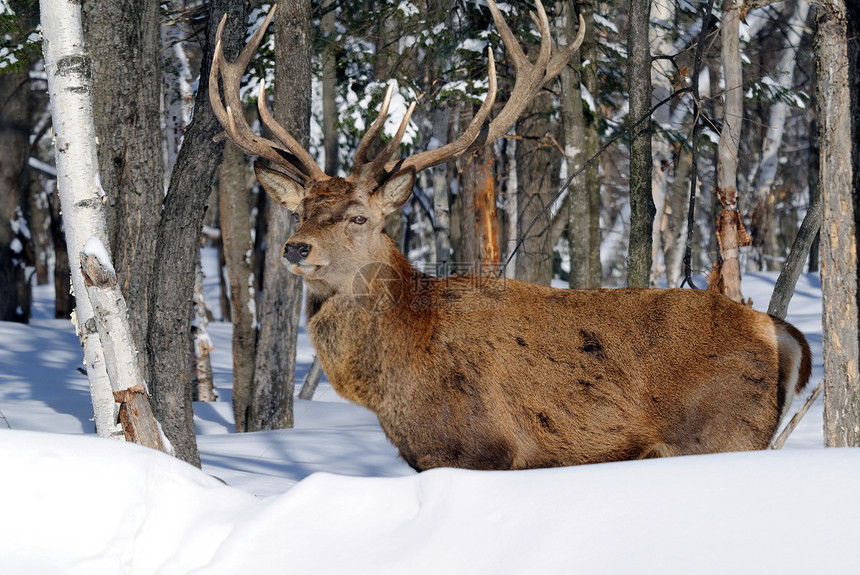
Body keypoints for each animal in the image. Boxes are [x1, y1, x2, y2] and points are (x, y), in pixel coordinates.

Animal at [210, 2, 812, 470]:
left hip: (723, 433)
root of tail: (777, 331)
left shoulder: (481, 447)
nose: (295, 247)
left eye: (359, 217)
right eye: (300, 213)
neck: (395, 373)